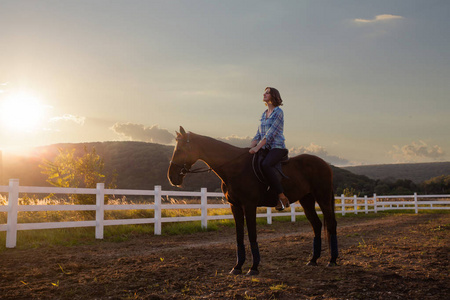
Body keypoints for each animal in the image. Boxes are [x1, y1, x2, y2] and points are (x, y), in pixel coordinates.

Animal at [168, 125, 338, 276]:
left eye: (180, 149)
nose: (172, 177)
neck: (234, 168)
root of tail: (325, 164)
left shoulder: (249, 205)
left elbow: (252, 235)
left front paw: (254, 268)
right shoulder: (235, 206)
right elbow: (239, 236)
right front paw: (237, 267)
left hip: (322, 197)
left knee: (330, 224)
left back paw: (332, 260)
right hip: (306, 200)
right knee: (317, 225)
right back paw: (313, 259)